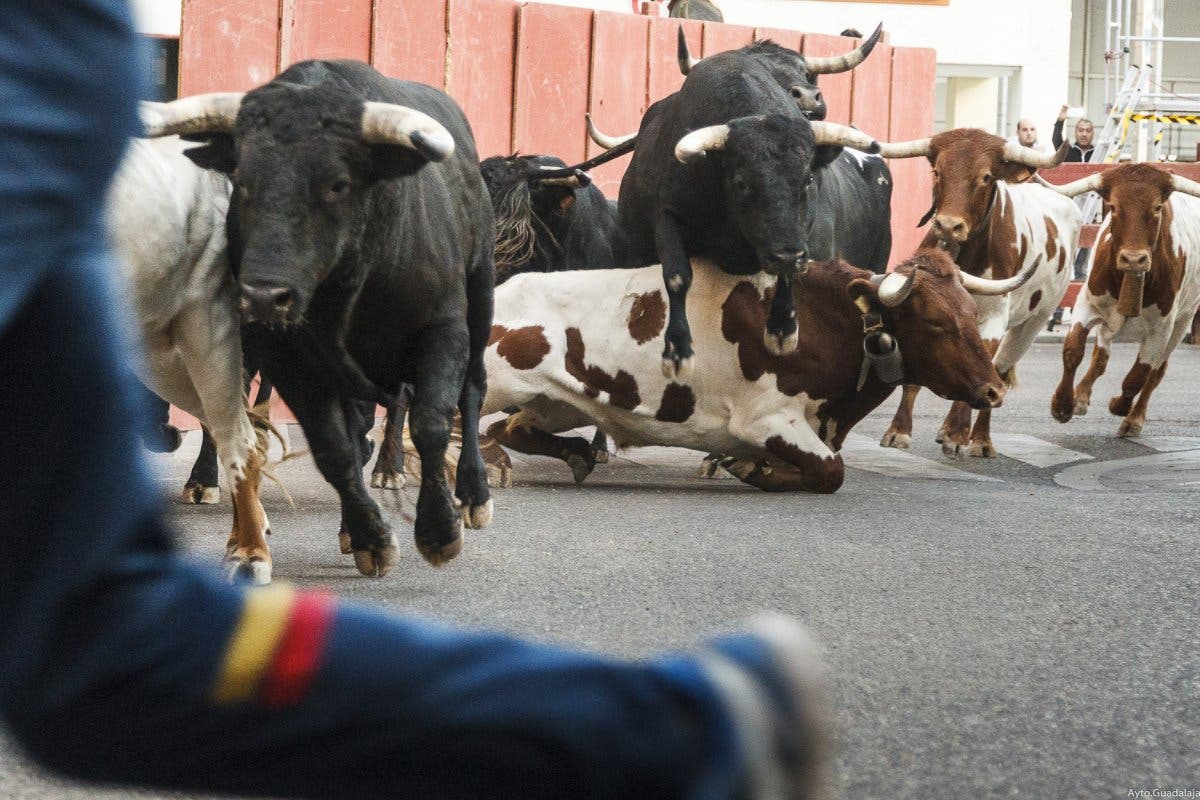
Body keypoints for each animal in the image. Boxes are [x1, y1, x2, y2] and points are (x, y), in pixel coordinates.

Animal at [146, 61, 496, 575]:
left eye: (337, 184)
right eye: (242, 181)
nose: (263, 296)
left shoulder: (443, 329)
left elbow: (431, 420)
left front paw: (438, 529)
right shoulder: (288, 358)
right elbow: (333, 447)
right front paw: (370, 536)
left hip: (480, 296)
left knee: (472, 390)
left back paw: (472, 493)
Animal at [477, 250, 1032, 491]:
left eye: (971, 311)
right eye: (936, 321)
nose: (994, 390)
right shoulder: (764, 419)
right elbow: (831, 470)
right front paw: (754, 468)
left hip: (560, 404)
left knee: (512, 427)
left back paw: (572, 455)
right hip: (501, 378)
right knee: (470, 422)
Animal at [878, 130, 1084, 455]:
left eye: (986, 177)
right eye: (937, 172)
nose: (948, 225)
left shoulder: (993, 319)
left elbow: (986, 370)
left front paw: (957, 432)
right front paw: (899, 430)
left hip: (1034, 322)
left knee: (999, 372)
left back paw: (979, 439)